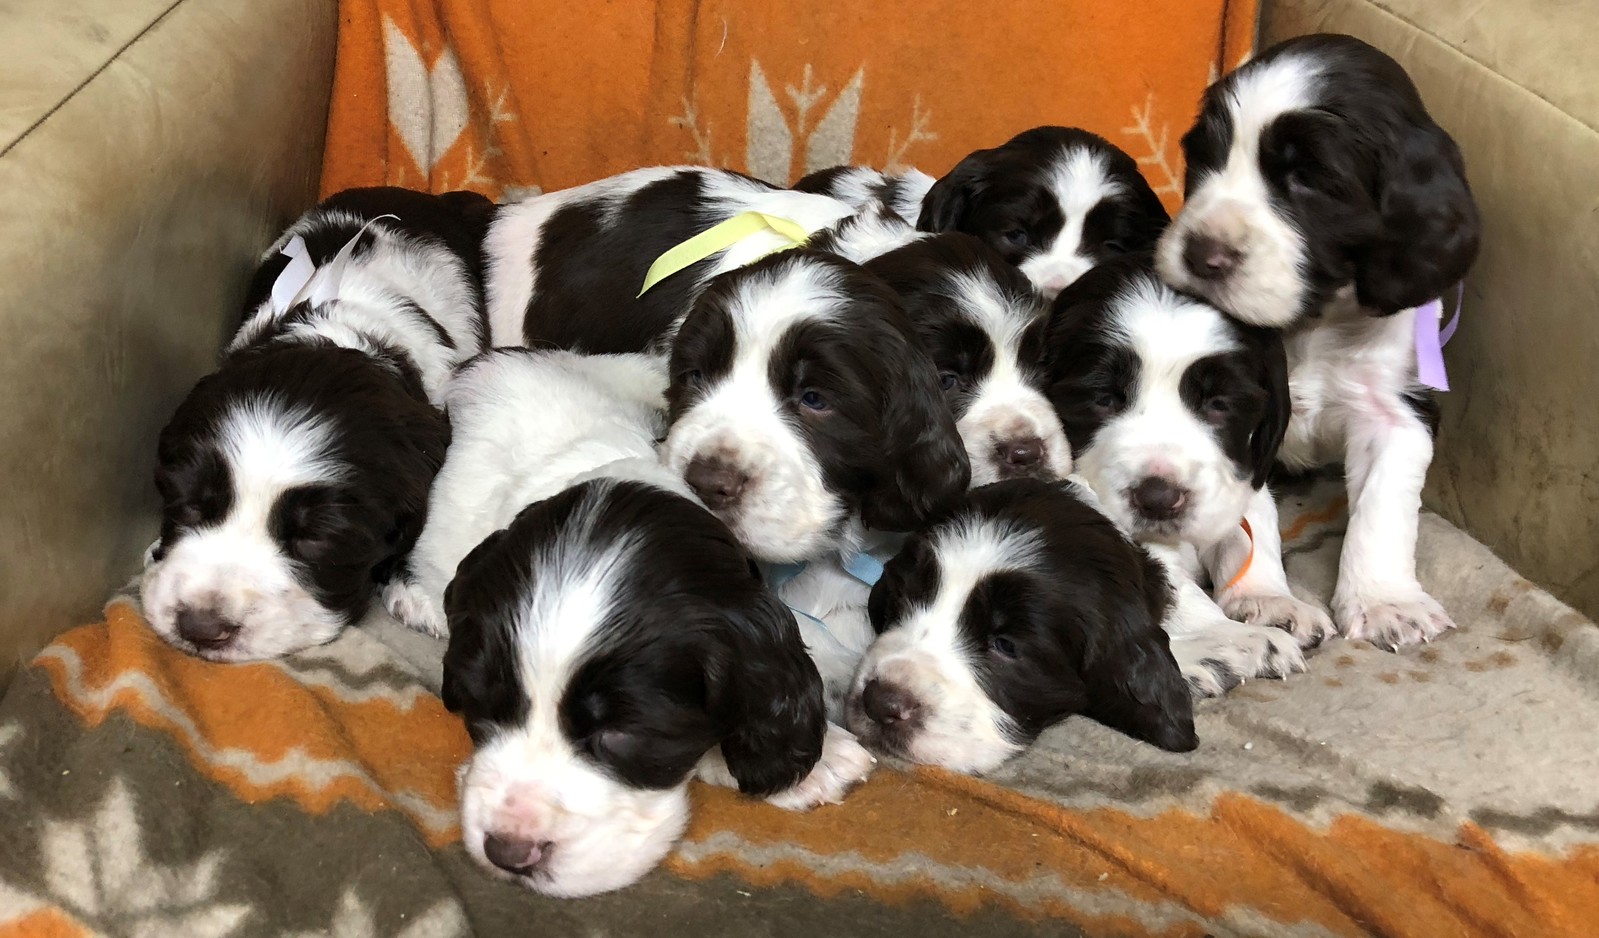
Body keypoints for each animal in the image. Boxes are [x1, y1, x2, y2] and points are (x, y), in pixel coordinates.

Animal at [1044, 258, 1327, 693]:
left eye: (1219, 404)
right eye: (1103, 398)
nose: (1158, 499)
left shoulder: (1243, 467)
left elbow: (1253, 519)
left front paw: (1269, 601)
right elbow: (1161, 579)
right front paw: (1235, 638)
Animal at [1154, 34, 1480, 648]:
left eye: (1307, 179)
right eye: (1205, 158)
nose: (1201, 255)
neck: (1311, 325)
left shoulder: (1397, 409)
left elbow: (1382, 509)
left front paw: (1387, 603)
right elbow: (1251, 520)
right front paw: (1267, 601)